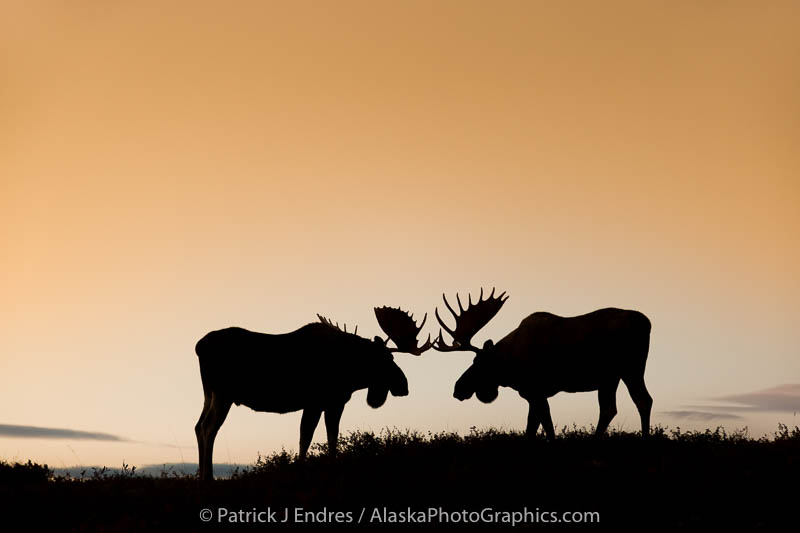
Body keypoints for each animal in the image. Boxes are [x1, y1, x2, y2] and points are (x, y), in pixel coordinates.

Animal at [195, 306, 432, 480]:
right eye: (388, 359)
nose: (404, 385)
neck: (351, 370)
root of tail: (198, 346)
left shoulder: (334, 403)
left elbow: (331, 437)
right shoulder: (315, 403)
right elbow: (306, 437)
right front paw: (301, 469)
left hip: (209, 394)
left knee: (198, 426)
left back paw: (201, 476)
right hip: (223, 395)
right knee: (208, 429)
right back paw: (208, 477)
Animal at [434, 288, 652, 438]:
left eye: (478, 362)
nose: (458, 388)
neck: (509, 364)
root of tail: (647, 323)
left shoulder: (535, 391)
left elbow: (537, 428)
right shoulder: (535, 395)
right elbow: (541, 426)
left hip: (625, 370)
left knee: (635, 402)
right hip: (615, 376)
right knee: (618, 406)